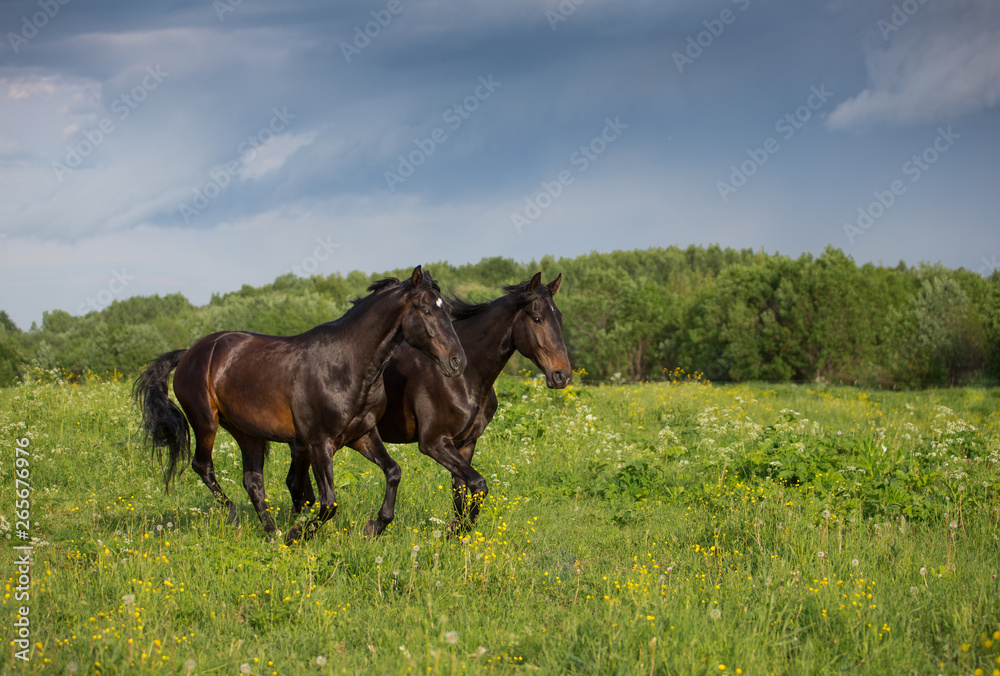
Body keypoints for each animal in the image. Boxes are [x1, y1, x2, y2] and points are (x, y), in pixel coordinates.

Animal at [133, 266, 468, 540]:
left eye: (446, 309)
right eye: (425, 310)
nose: (457, 361)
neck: (347, 365)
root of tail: (189, 353)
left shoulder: (362, 436)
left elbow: (393, 472)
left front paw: (374, 526)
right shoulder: (319, 443)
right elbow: (328, 502)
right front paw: (298, 533)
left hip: (247, 433)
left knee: (253, 481)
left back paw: (271, 534)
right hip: (206, 422)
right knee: (203, 466)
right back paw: (235, 517)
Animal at [290, 272, 572, 532]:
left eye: (560, 318)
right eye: (537, 318)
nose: (563, 375)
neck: (466, 378)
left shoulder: (465, 443)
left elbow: (462, 493)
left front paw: (456, 533)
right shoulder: (434, 442)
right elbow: (478, 485)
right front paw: (457, 529)